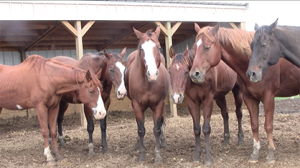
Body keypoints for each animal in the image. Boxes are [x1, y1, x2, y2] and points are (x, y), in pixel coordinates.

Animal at [124, 26, 170, 163]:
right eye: (142, 49)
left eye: (159, 47)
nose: (153, 74)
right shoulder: (137, 105)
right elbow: (141, 129)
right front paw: (142, 155)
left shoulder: (159, 104)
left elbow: (157, 129)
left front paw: (158, 155)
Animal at [190, 23, 300, 163]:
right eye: (195, 47)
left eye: (207, 47)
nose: (194, 74)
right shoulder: (249, 98)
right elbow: (254, 125)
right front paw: (255, 154)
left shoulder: (269, 97)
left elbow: (268, 125)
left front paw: (270, 154)